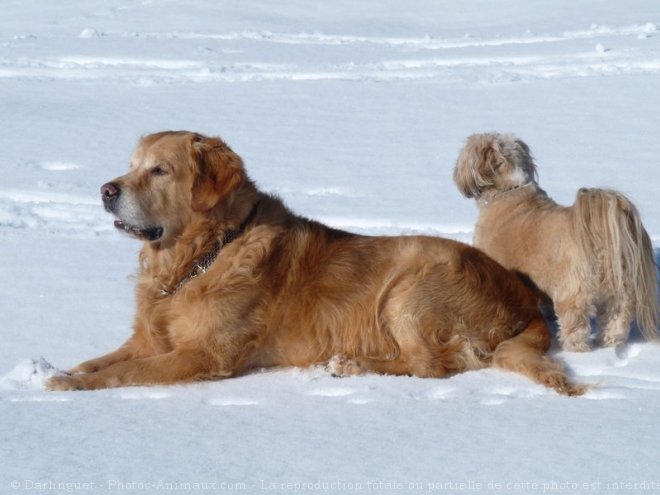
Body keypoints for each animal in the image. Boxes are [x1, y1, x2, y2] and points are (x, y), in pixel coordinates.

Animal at [47, 132, 584, 396]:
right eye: (131, 165)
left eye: (159, 170)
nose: (105, 190)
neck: (203, 255)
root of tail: (527, 300)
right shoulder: (147, 337)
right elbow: (103, 358)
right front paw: (64, 369)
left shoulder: (205, 354)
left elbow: (125, 372)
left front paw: (74, 385)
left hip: (410, 288)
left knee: (429, 365)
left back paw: (350, 364)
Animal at [456, 133, 656, 352]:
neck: (510, 190)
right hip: (619, 289)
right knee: (617, 316)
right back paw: (609, 342)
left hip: (573, 290)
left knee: (576, 323)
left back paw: (576, 349)